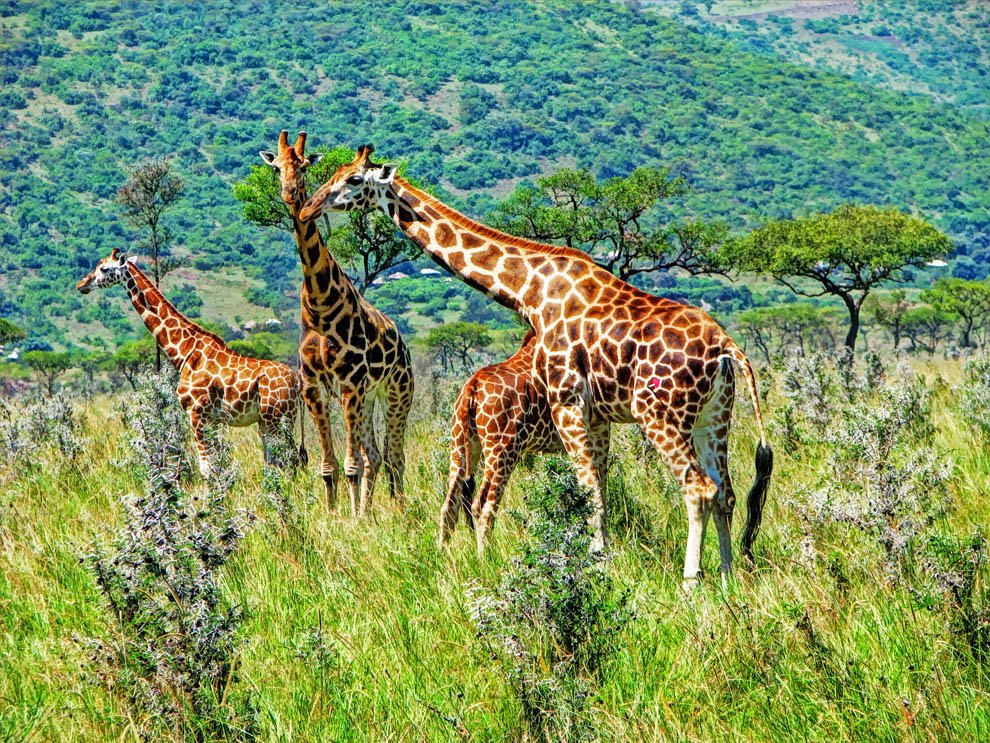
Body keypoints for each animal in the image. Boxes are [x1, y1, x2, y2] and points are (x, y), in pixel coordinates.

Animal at [76, 248, 306, 476]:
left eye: (104, 268)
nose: (81, 285)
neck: (185, 352)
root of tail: (296, 382)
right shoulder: (213, 419)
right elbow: (218, 463)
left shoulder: (196, 411)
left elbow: (206, 468)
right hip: (268, 420)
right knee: (277, 460)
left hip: (277, 417)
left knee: (290, 459)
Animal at [259, 131, 413, 515]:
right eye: (276, 167)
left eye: (303, 166)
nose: (291, 193)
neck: (320, 303)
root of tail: (403, 343)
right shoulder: (314, 387)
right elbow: (328, 466)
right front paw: (335, 516)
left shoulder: (348, 384)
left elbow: (351, 465)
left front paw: (354, 521)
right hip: (369, 397)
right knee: (376, 456)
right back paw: (371, 512)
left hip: (397, 392)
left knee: (394, 457)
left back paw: (399, 512)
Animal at [439, 328, 563, 555]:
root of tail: (472, 389)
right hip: (503, 449)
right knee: (484, 506)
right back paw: (486, 557)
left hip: (460, 443)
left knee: (450, 505)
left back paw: (443, 554)